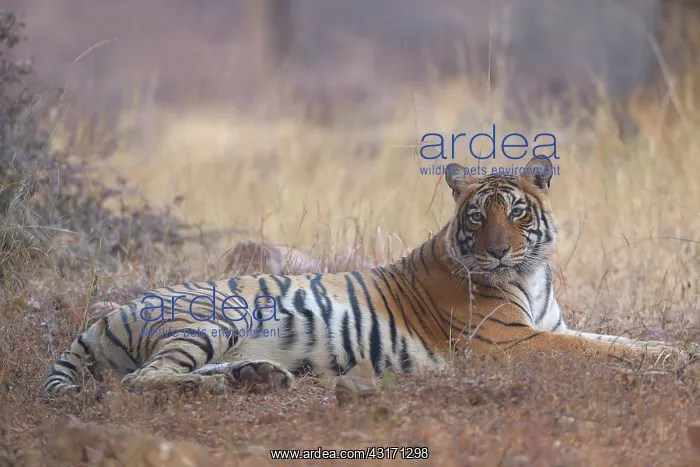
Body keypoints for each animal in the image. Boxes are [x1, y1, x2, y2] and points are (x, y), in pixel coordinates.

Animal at [44, 156, 687, 395]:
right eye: (478, 217)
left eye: (518, 213)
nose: (500, 252)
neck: (531, 276)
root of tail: (110, 314)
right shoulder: (515, 343)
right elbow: (596, 351)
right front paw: (678, 357)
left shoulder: (548, 328)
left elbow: (611, 339)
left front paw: (672, 351)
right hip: (212, 318)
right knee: (145, 379)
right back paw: (221, 385)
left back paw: (260, 375)